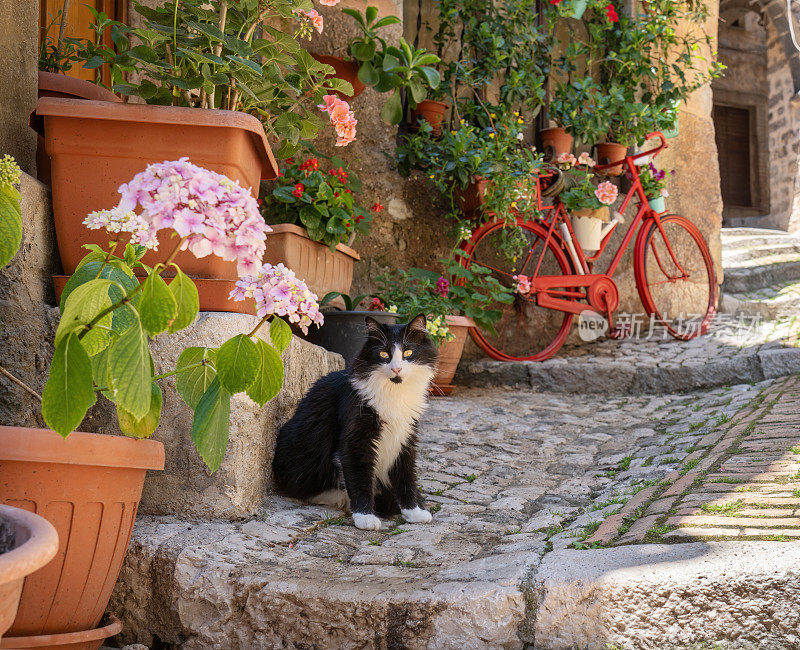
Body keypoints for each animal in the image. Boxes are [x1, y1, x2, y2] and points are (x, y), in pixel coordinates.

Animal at [274, 312, 438, 528]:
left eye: (408, 352)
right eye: (384, 355)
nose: (396, 369)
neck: (394, 393)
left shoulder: (405, 438)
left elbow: (406, 476)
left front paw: (414, 511)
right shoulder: (356, 439)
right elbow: (359, 478)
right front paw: (365, 516)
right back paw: (343, 499)